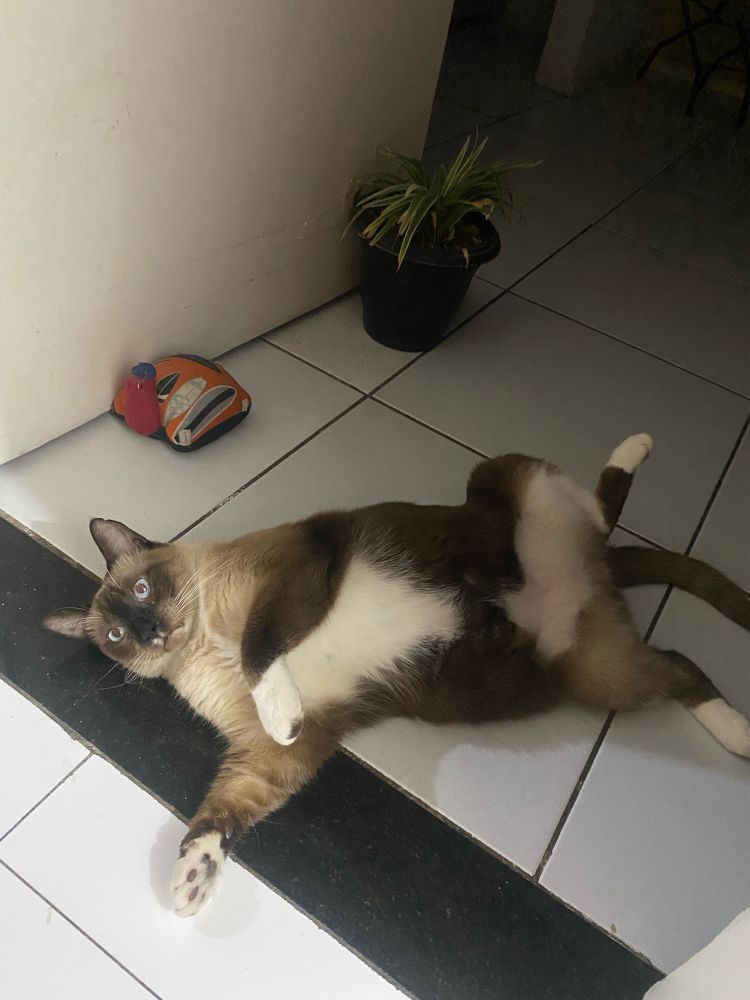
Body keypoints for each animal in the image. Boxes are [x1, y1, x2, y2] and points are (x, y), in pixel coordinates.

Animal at [45, 434, 750, 918]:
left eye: (144, 588)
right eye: (115, 636)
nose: (148, 631)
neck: (202, 639)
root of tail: (594, 573)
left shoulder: (292, 573)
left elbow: (259, 648)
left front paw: (277, 702)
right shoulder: (274, 758)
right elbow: (220, 817)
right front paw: (192, 881)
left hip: (504, 476)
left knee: (599, 507)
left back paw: (637, 447)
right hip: (600, 676)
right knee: (678, 665)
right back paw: (737, 733)